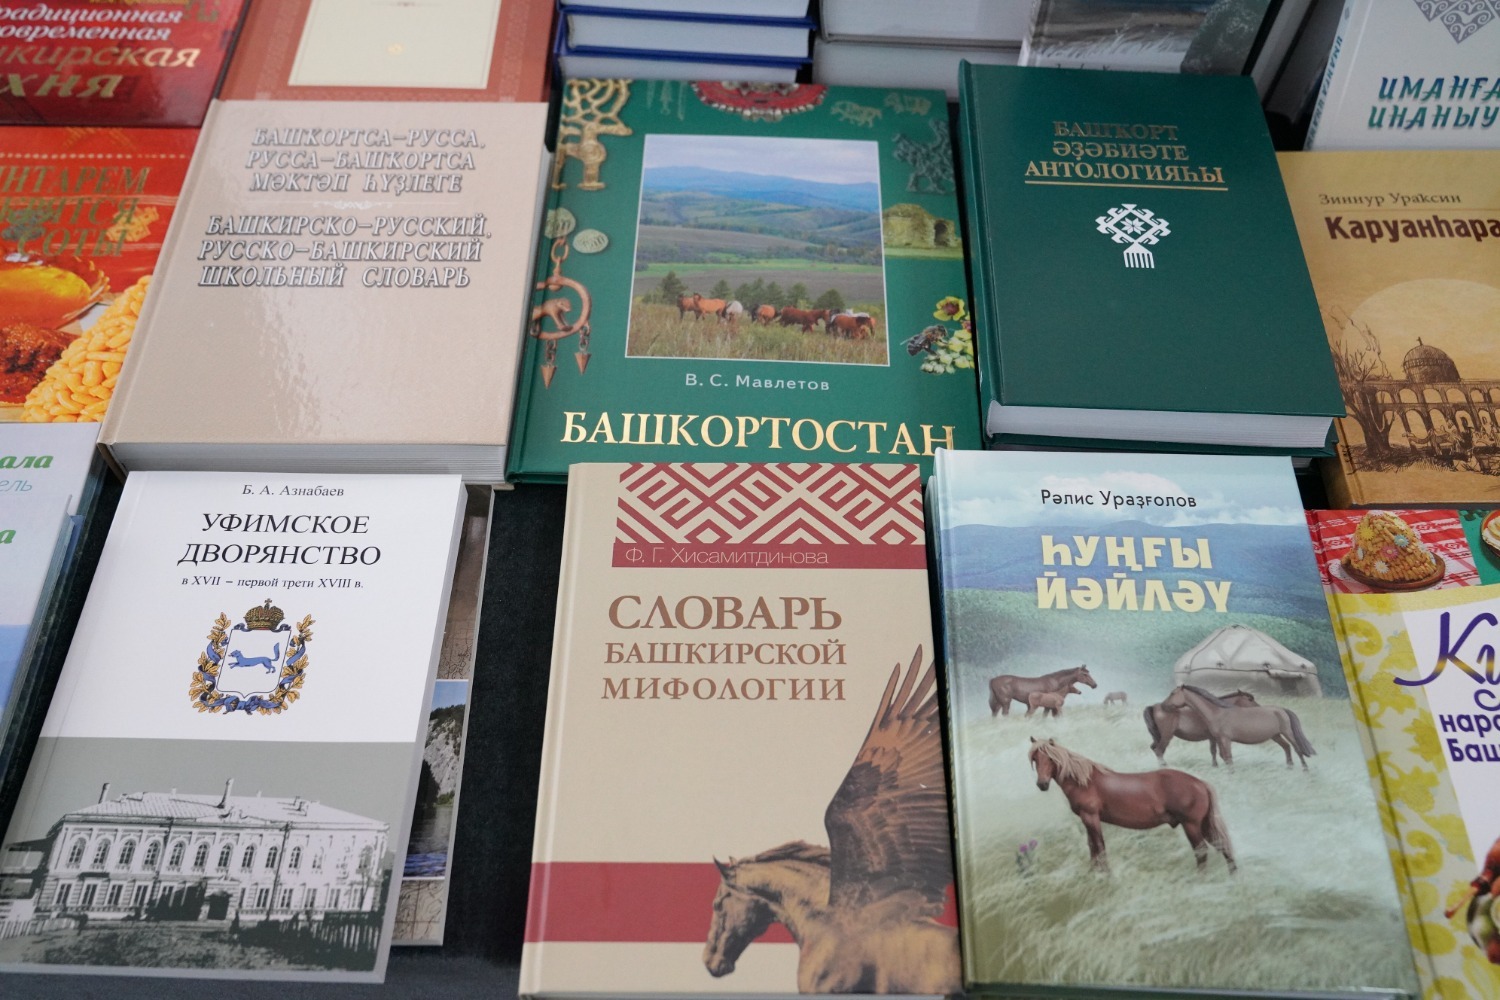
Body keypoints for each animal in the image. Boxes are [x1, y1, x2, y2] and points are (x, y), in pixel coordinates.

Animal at [1028, 737, 1236, 874]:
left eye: (1050, 758)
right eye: (1035, 759)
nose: (1042, 784)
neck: (1086, 782)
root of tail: (1201, 783)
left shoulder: (1091, 817)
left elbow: (1100, 848)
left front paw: (1105, 875)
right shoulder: (1087, 820)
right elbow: (1092, 848)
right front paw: (1093, 873)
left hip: (1191, 825)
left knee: (1201, 851)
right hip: (1203, 824)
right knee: (1223, 847)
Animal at [1156, 685, 1315, 769]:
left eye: (1173, 693)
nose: (1163, 705)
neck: (1217, 712)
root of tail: (1282, 709)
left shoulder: (1226, 739)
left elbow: (1228, 757)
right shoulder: (1219, 739)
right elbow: (1223, 757)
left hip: (1287, 732)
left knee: (1297, 748)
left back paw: (1305, 770)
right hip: (1275, 735)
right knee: (1286, 747)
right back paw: (1289, 767)